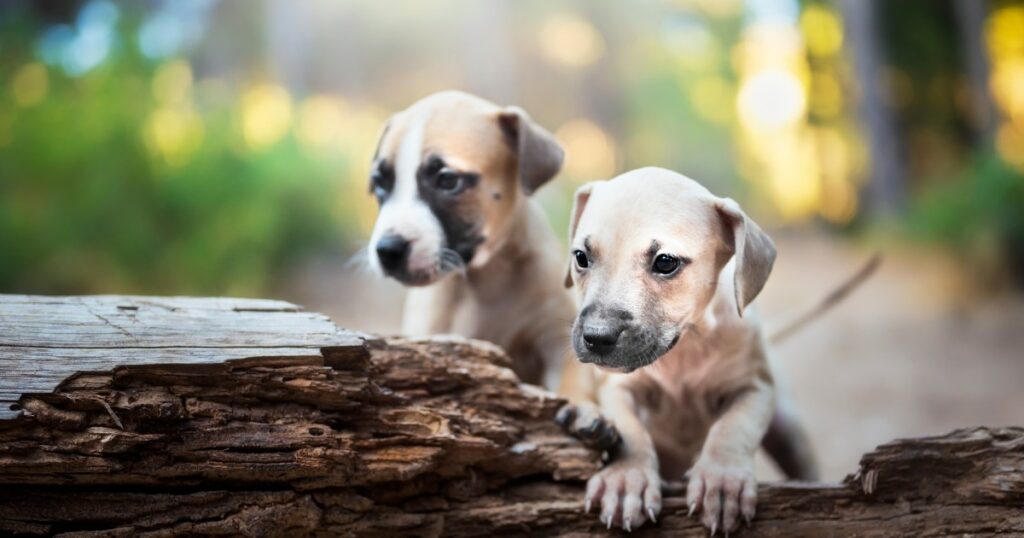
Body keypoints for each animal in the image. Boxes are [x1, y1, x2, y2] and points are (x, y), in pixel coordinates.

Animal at [561, 168, 815, 532]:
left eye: (665, 262)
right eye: (581, 257)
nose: (597, 337)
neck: (684, 349)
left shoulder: (755, 388)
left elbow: (733, 428)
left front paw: (722, 481)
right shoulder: (617, 387)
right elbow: (630, 429)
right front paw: (625, 479)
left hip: (790, 433)